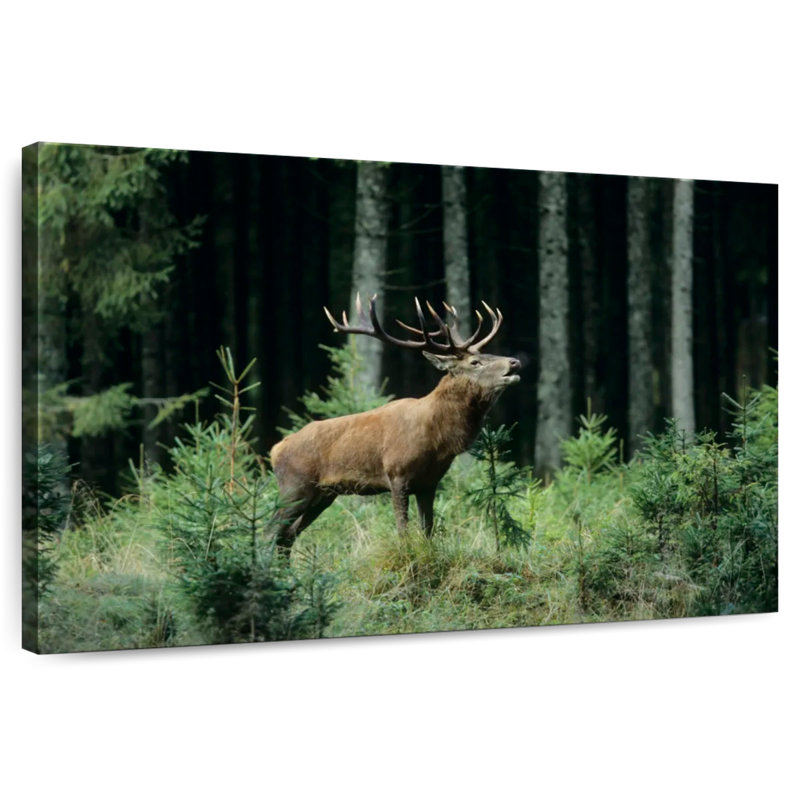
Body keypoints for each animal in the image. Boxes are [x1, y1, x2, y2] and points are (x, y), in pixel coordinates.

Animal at [268, 294, 521, 552]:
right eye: (475, 362)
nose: (514, 362)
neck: (438, 440)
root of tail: (275, 449)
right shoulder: (397, 473)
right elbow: (403, 531)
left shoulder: (429, 483)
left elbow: (427, 531)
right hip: (294, 486)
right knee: (271, 531)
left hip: (323, 494)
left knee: (287, 535)